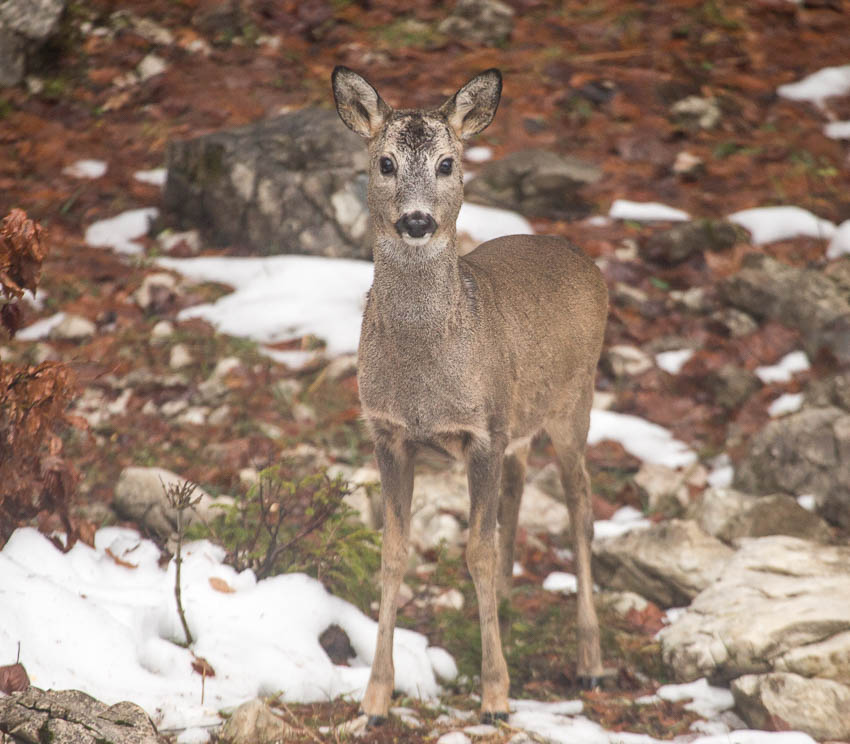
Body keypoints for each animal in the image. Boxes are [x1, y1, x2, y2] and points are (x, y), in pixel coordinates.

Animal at [332, 67, 608, 724]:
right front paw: (375, 698)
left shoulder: (481, 434)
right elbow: (394, 553)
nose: (416, 221)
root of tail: (584, 259)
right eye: (384, 162)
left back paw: (590, 662)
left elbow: (475, 553)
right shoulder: (388, 433)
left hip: (575, 402)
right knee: (518, 490)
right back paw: (504, 606)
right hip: (519, 419)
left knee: (581, 512)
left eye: (448, 163)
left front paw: (496, 696)